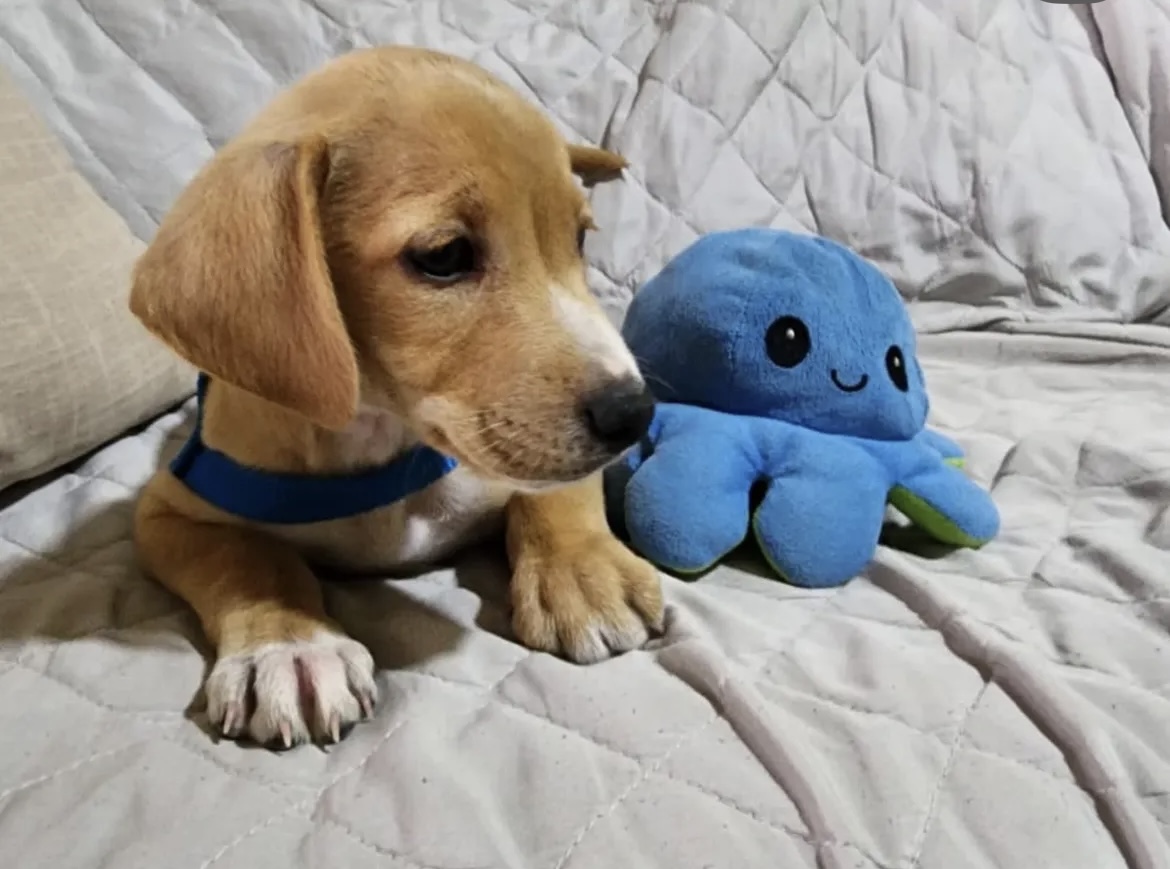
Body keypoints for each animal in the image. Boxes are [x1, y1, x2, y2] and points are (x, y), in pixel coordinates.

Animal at [128, 46, 664, 748]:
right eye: (444, 255)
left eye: (578, 240)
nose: (634, 413)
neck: (380, 438)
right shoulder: (167, 511)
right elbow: (244, 557)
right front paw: (290, 644)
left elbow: (556, 496)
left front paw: (585, 573)